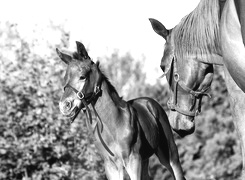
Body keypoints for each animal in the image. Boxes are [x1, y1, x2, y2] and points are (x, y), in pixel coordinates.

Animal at [56, 41, 185, 179]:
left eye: (82, 77)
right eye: (65, 78)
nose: (64, 105)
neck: (113, 124)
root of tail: (151, 103)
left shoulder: (133, 160)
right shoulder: (110, 165)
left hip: (169, 155)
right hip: (145, 159)